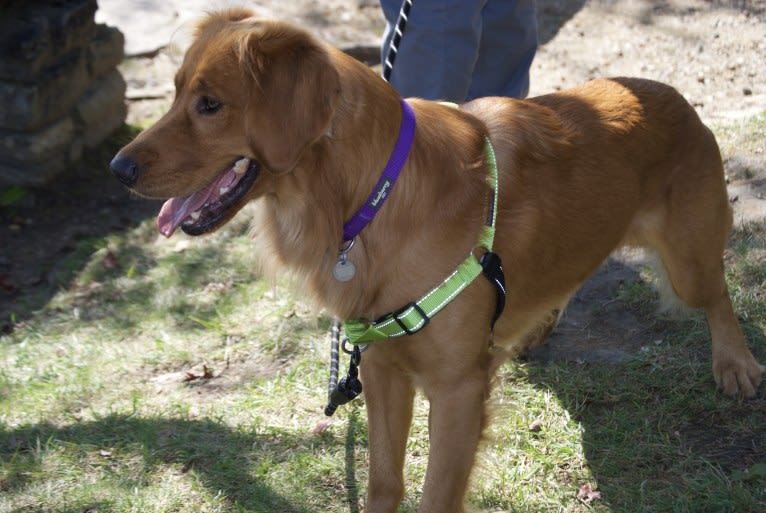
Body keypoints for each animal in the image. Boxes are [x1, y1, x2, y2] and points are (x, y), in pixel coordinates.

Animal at [111, 9, 764, 512]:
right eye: (174, 92)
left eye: (210, 104)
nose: (119, 168)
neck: (371, 198)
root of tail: (667, 92)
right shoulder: (381, 369)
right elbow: (383, 482)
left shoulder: (456, 391)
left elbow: (435, 495)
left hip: (688, 260)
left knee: (717, 296)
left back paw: (735, 363)